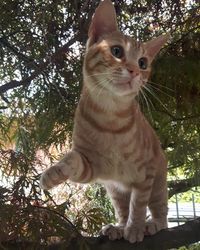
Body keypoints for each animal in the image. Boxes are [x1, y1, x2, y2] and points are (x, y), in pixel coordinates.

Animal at [39, 0, 170, 243]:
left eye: (143, 63)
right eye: (117, 51)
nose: (134, 71)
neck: (110, 119)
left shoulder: (145, 173)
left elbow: (139, 204)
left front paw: (136, 227)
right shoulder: (92, 166)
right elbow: (72, 158)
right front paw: (54, 172)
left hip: (157, 181)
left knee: (160, 211)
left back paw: (152, 224)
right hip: (115, 190)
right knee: (122, 209)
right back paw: (118, 227)